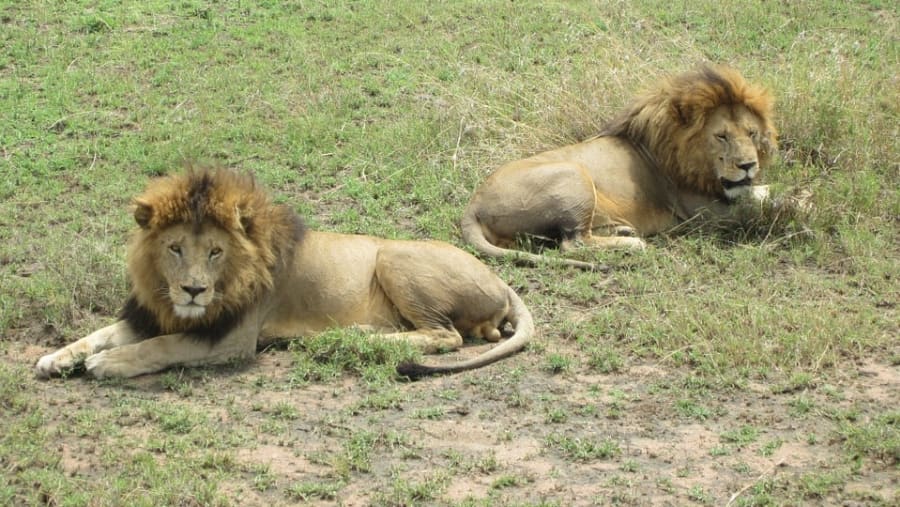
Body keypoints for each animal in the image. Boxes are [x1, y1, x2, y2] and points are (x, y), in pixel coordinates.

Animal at [35, 167, 534, 380]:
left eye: (215, 252)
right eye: (174, 248)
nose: (193, 291)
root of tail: (500, 280)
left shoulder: (233, 338)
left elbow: (160, 347)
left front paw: (108, 364)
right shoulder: (156, 312)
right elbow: (100, 333)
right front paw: (57, 358)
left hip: (394, 256)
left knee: (444, 336)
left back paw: (354, 338)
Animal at [461, 65, 778, 269]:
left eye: (751, 133)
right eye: (721, 136)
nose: (749, 165)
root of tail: (473, 206)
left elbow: (764, 191)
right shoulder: (705, 212)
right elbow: (766, 201)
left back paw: (623, 232)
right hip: (574, 175)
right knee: (572, 242)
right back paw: (633, 244)